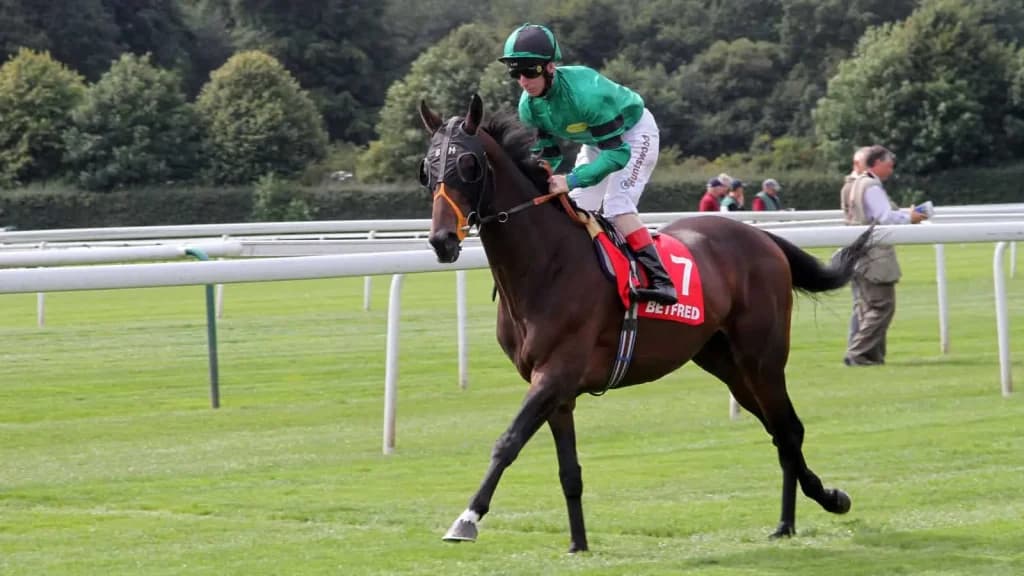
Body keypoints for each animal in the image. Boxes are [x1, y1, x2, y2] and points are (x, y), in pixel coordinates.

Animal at [418, 94, 871, 553]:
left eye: (468, 164)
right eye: (428, 168)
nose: (441, 241)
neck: (546, 264)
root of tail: (763, 238)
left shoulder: (555, 373)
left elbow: (507, 442)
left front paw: (466, 519)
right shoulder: (555, 389)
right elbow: (569, 472)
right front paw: (578, 544)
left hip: (762, 358)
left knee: (788, 428)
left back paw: (812, 508)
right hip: (726, 364)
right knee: (778, 430)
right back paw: (795, 516)